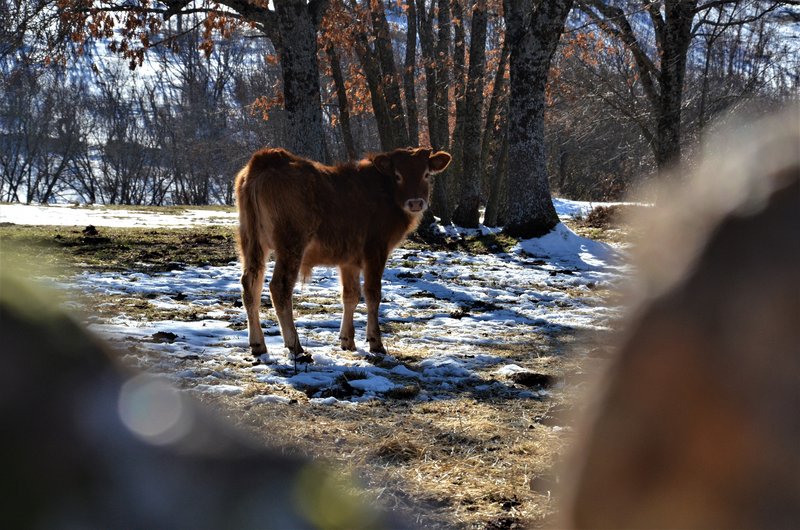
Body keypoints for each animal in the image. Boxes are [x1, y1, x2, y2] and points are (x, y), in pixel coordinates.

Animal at [236, 146, 450, 356]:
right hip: (291, 244)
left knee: (251, 285)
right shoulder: (376, 250)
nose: (415, 202)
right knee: (279, 287)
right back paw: (295, 346)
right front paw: (376, 342)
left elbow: (350, 296)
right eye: (398, 175)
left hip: (251, 242)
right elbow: (372, 294)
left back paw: (258, 344)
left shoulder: (349, 260)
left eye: (426, 174)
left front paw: (347, 340)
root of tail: (267, 158)